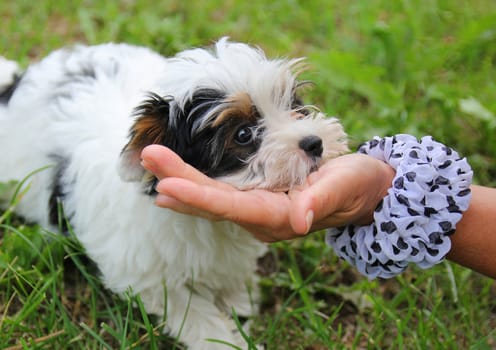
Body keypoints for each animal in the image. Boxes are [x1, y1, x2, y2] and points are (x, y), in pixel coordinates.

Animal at [0, 39, 348, 348]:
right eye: (243, 134)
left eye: (293, 107)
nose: (314, 142)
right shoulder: (148, 275)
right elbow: (192, 313)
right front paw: (224, 341)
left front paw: (239, 301)